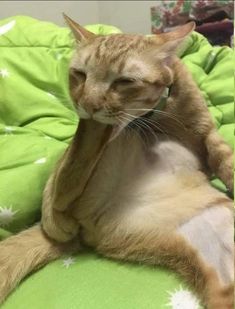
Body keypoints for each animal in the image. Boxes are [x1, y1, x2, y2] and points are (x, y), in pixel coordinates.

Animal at [0, 15, 233, 308]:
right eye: (80, 74)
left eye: (124, 81)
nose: (88, 102)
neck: (160, 116)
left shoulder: (208, 137)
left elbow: (225, 162)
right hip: (77, 184)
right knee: (62, 195)